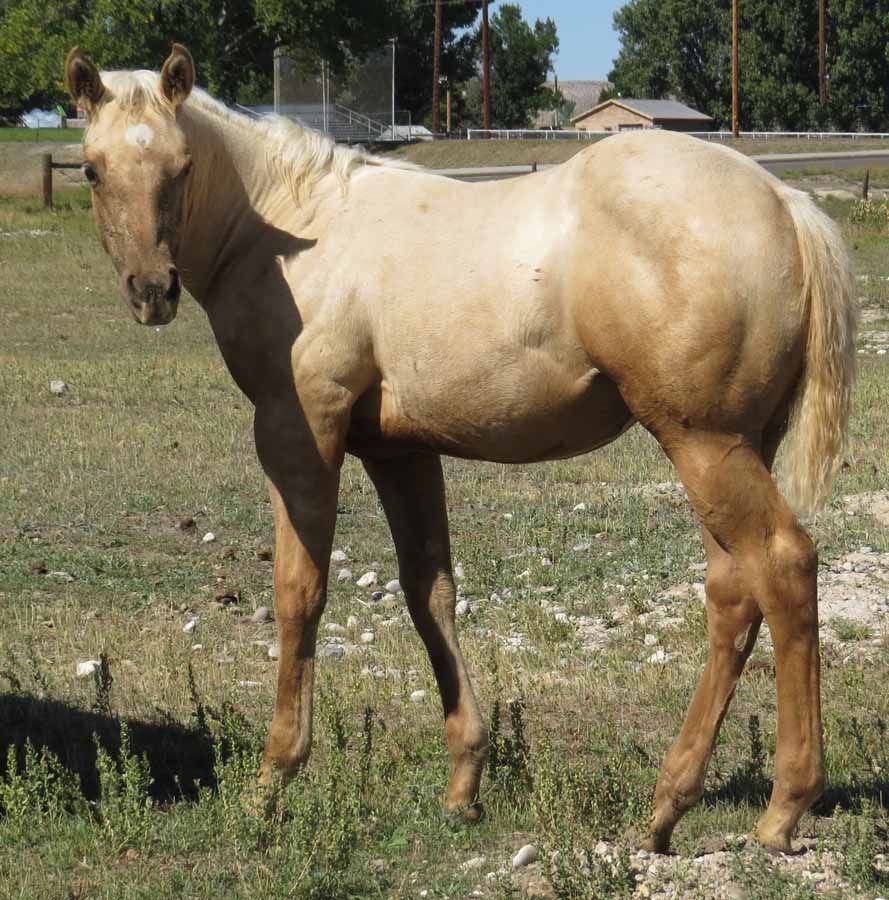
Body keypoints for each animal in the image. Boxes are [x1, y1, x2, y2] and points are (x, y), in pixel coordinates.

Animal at [64, 44, 857, 855]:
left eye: (183, 164)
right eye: (92, 168)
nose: (152, 289)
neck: (290, 231)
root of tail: (783, 203)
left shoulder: (298, 432)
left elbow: (298, 595)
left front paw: (272, 780)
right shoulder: (399, 452)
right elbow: (429, 594)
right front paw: (463, 782)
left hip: (703, 442)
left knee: (783, 566)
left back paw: (783, 806)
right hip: (733, 446)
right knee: (734, 594)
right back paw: (668, 803)